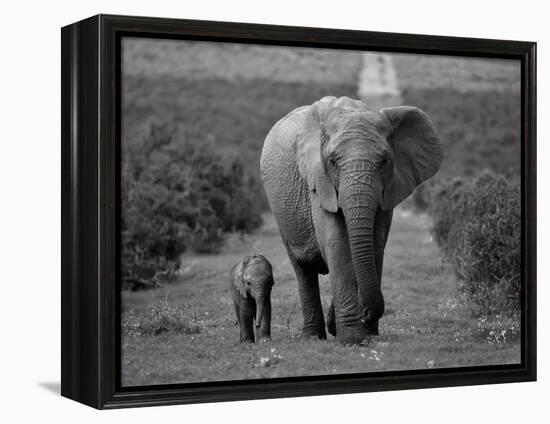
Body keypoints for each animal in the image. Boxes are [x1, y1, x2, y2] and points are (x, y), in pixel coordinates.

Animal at [260, 95, 446, 344]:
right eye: (332, 161)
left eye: (384, 160)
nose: (365, 313)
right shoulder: (319, 183)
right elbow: (337, 244)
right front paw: (352, 339)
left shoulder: (388, 189)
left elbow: (376, 244)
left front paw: (365, 334)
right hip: (281, 211)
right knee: (302, 268)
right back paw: (312, 337)